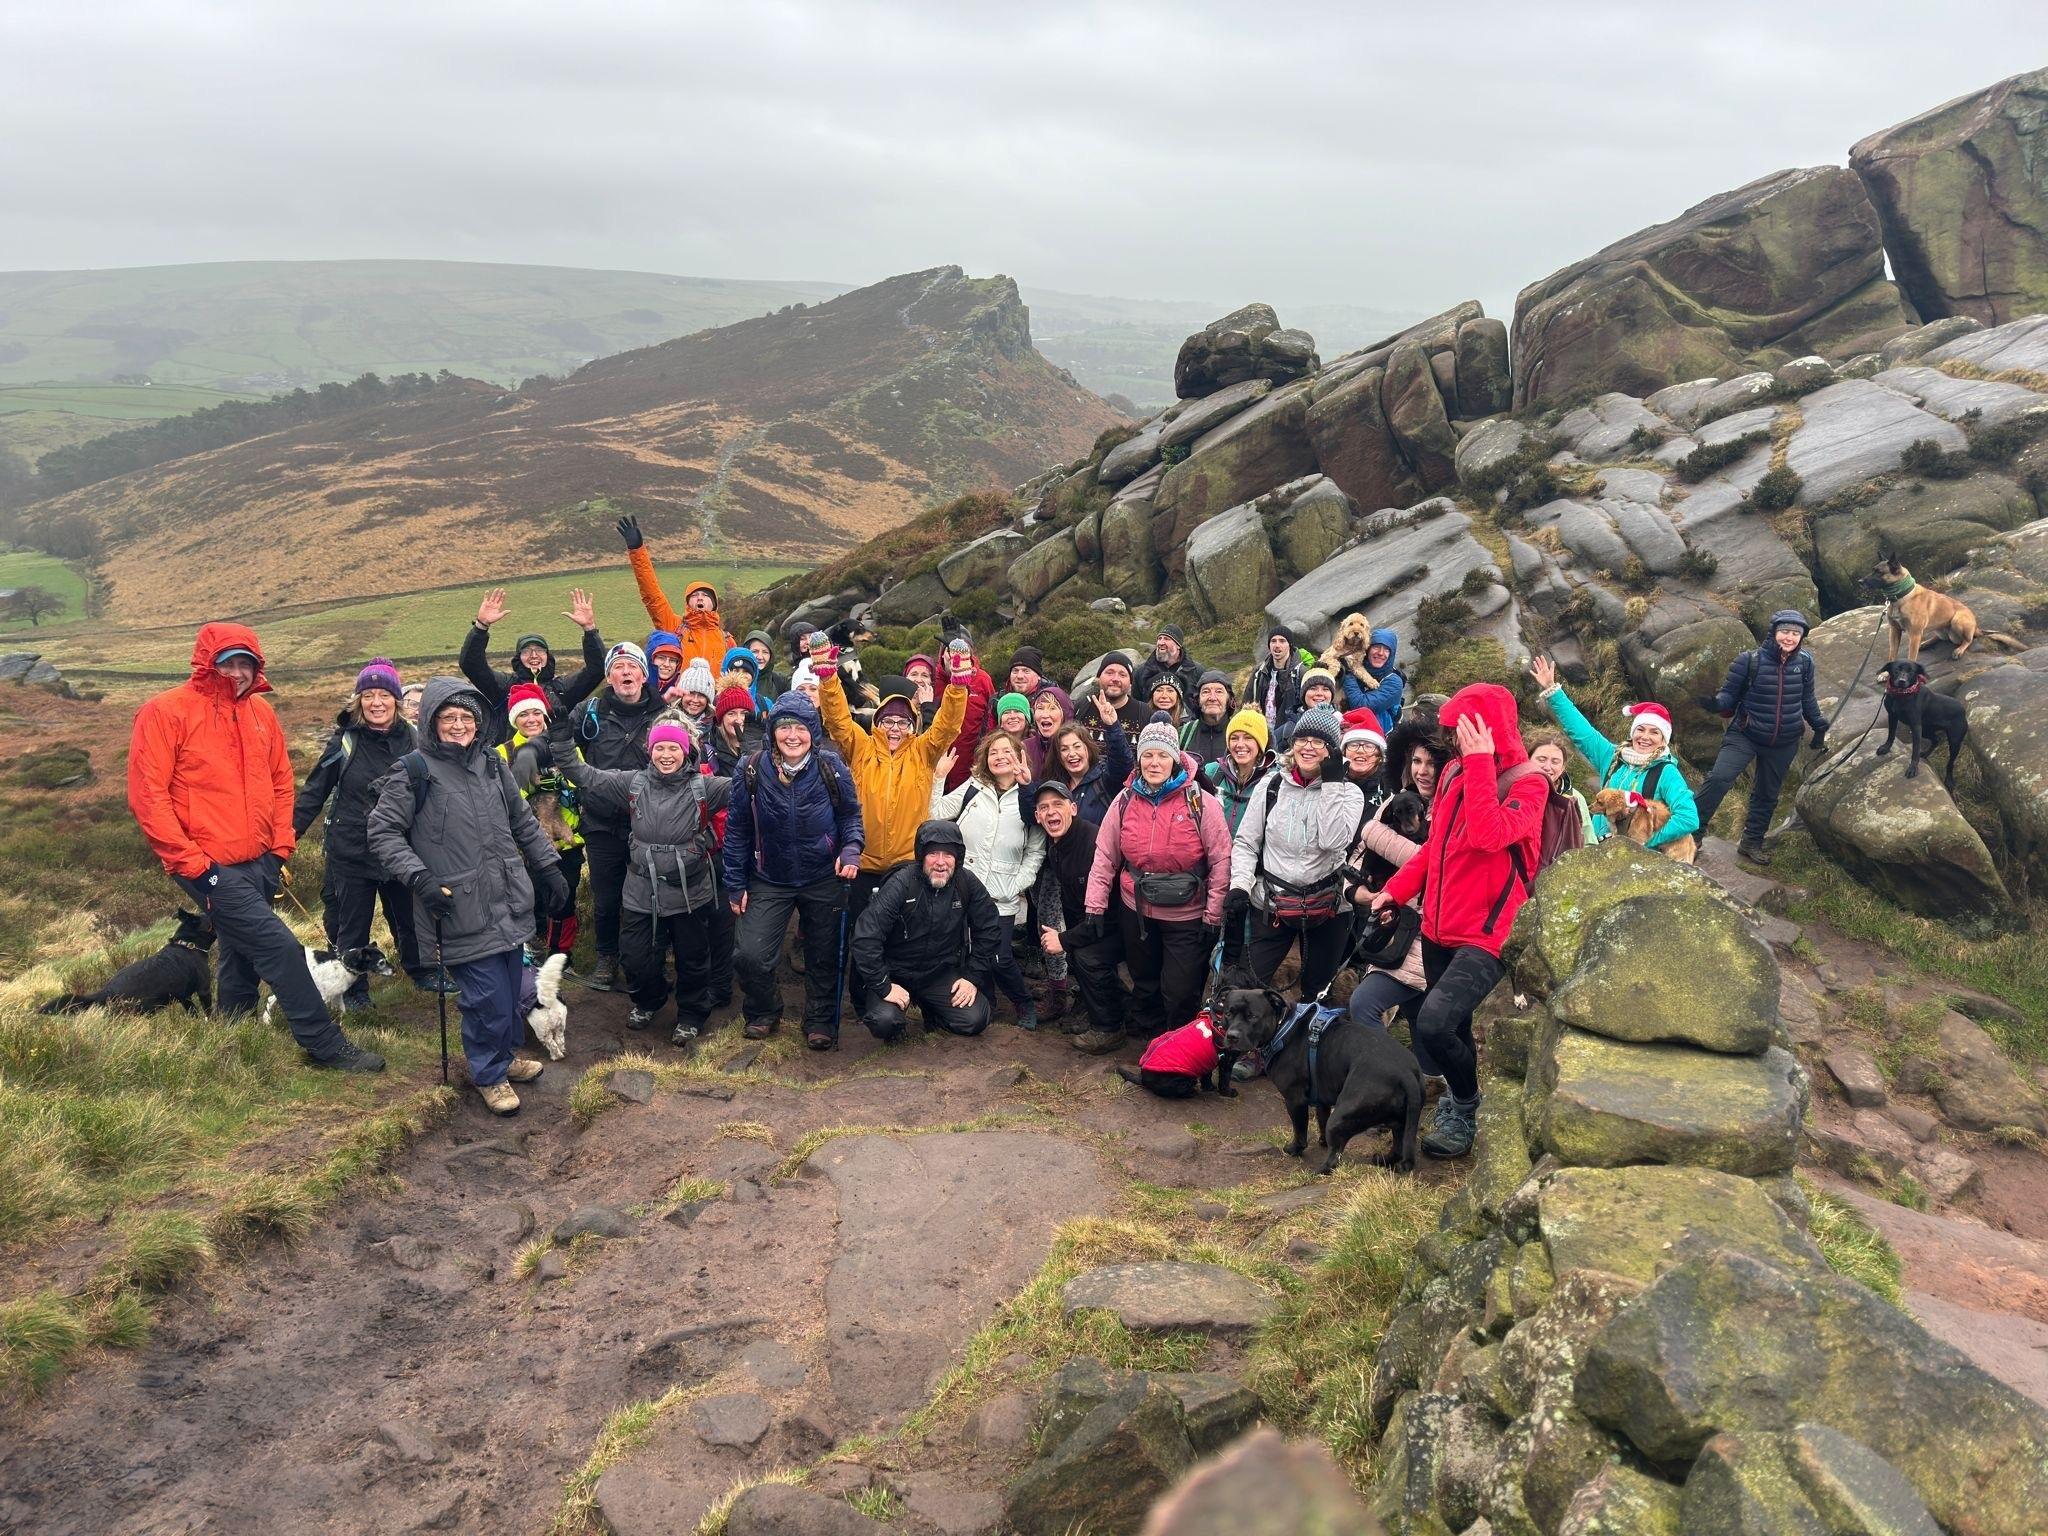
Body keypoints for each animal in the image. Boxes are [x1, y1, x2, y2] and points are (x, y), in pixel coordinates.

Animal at [39, 913, 214, 1024]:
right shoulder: (204, 990)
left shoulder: (184, 997)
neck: (188, 945)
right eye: (211, 921)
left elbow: (193, 1012)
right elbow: (209, 1012)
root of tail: (105, 992)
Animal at [1212, 987, 1425, 1179]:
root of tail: (1405, 1073)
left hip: (1343, 1116)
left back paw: (1319, 1171)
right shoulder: (1322, 1098)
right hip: (1398, 1118)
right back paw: (1384, 1159)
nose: (1232, 1036)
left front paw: (1295, 1149)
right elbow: (1321, 1118)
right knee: (1398, 1141)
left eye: (1253, 1016)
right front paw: (1322, 1141)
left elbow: (1300, 1130)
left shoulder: (1295, 1100)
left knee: (1335, 1157)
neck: (1283, 1025)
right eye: (1228, 1013)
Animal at [1875, 655, 1966, 786]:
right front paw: (1886, 748)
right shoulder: (1892, 716)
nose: (1902, 681)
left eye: (1911, 672)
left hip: (1954, 741)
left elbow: (1915, 750)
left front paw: (1913, 768)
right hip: (1926, 731)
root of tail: (1963, 709)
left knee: (1950, 763)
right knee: (1936, 740)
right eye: (1896, 670)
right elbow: (1891, 735)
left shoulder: (1916, 726)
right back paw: (1926, 754)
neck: (1901, 695)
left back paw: (1949, 780)